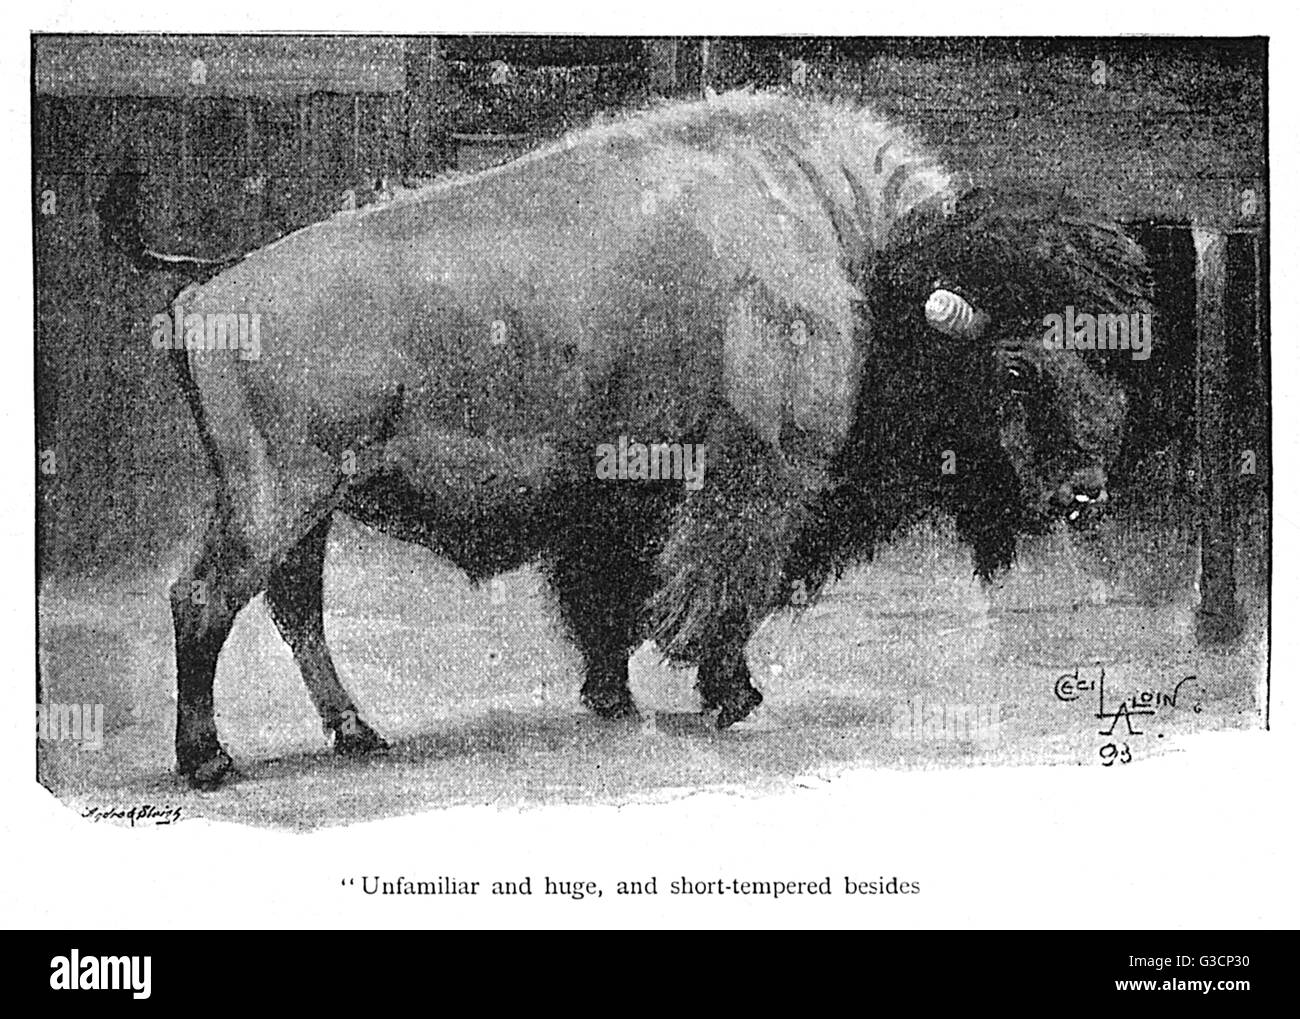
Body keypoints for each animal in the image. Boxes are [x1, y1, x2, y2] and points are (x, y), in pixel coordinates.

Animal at [101, 89, 1149, 790]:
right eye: (1013, 371)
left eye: (1103, 359)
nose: (1086, 492)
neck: (856, 260)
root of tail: (215, 279)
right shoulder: (751, 482)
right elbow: (718, 590)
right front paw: (732, 696)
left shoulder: (618, 499)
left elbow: (607, 599)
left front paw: (614, 699)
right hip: (276, 496)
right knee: (205, 600)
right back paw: (209, 761)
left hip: (301, 506)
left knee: (295, 608)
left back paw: (359, 734)